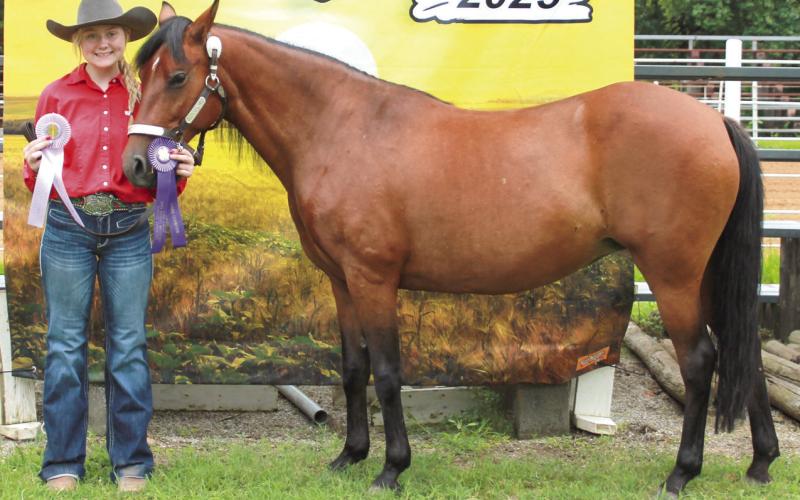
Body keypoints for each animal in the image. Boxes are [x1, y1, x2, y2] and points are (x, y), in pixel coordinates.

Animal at [122, 1, 779, 495]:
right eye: (140, 75)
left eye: (176, 77)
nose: (135, 165)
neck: (343, 129)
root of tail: (714, 121)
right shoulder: (341, 280)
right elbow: (353, 368)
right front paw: (349, 456)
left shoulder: (374, 278)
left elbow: (388, 372)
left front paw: (391, 468)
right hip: (705, 273)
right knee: (744, 354)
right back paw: (761, 462)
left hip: (673, 274)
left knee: (701, 360)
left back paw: (682, 473)